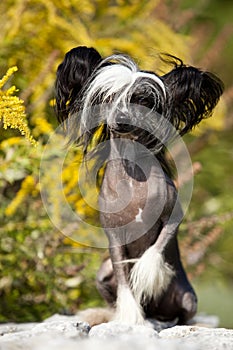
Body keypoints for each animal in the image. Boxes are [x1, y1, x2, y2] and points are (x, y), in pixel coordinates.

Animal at [55, 45, 224, 326]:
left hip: (188, 298)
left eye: (142, 100)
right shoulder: (114, 238)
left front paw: (147, 274)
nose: (123, 118)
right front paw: (130, 315)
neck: (133, 176)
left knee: (183, 315)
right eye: (109, 97)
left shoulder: (175, 216)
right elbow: (124, 278)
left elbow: (156, 248)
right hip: (102, 275)